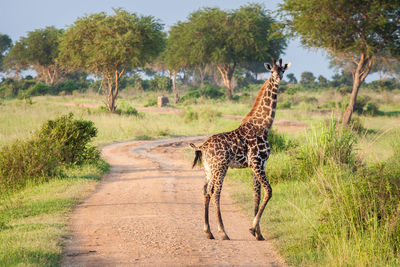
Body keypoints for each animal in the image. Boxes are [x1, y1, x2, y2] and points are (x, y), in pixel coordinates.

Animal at [191, 58, 290, 241]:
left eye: (283, 70)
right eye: (271, 71)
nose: (278, 78)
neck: (264, 126)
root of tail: (203, 146)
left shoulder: (259, 165)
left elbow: (256, 196)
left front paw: (259, 234)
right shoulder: (256, 163)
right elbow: (269, 191)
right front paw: (252, 228)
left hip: (208, 169)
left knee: (205, 191)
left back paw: (208, 232)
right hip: (220, 167)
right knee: (215, 193)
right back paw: (223, 232)